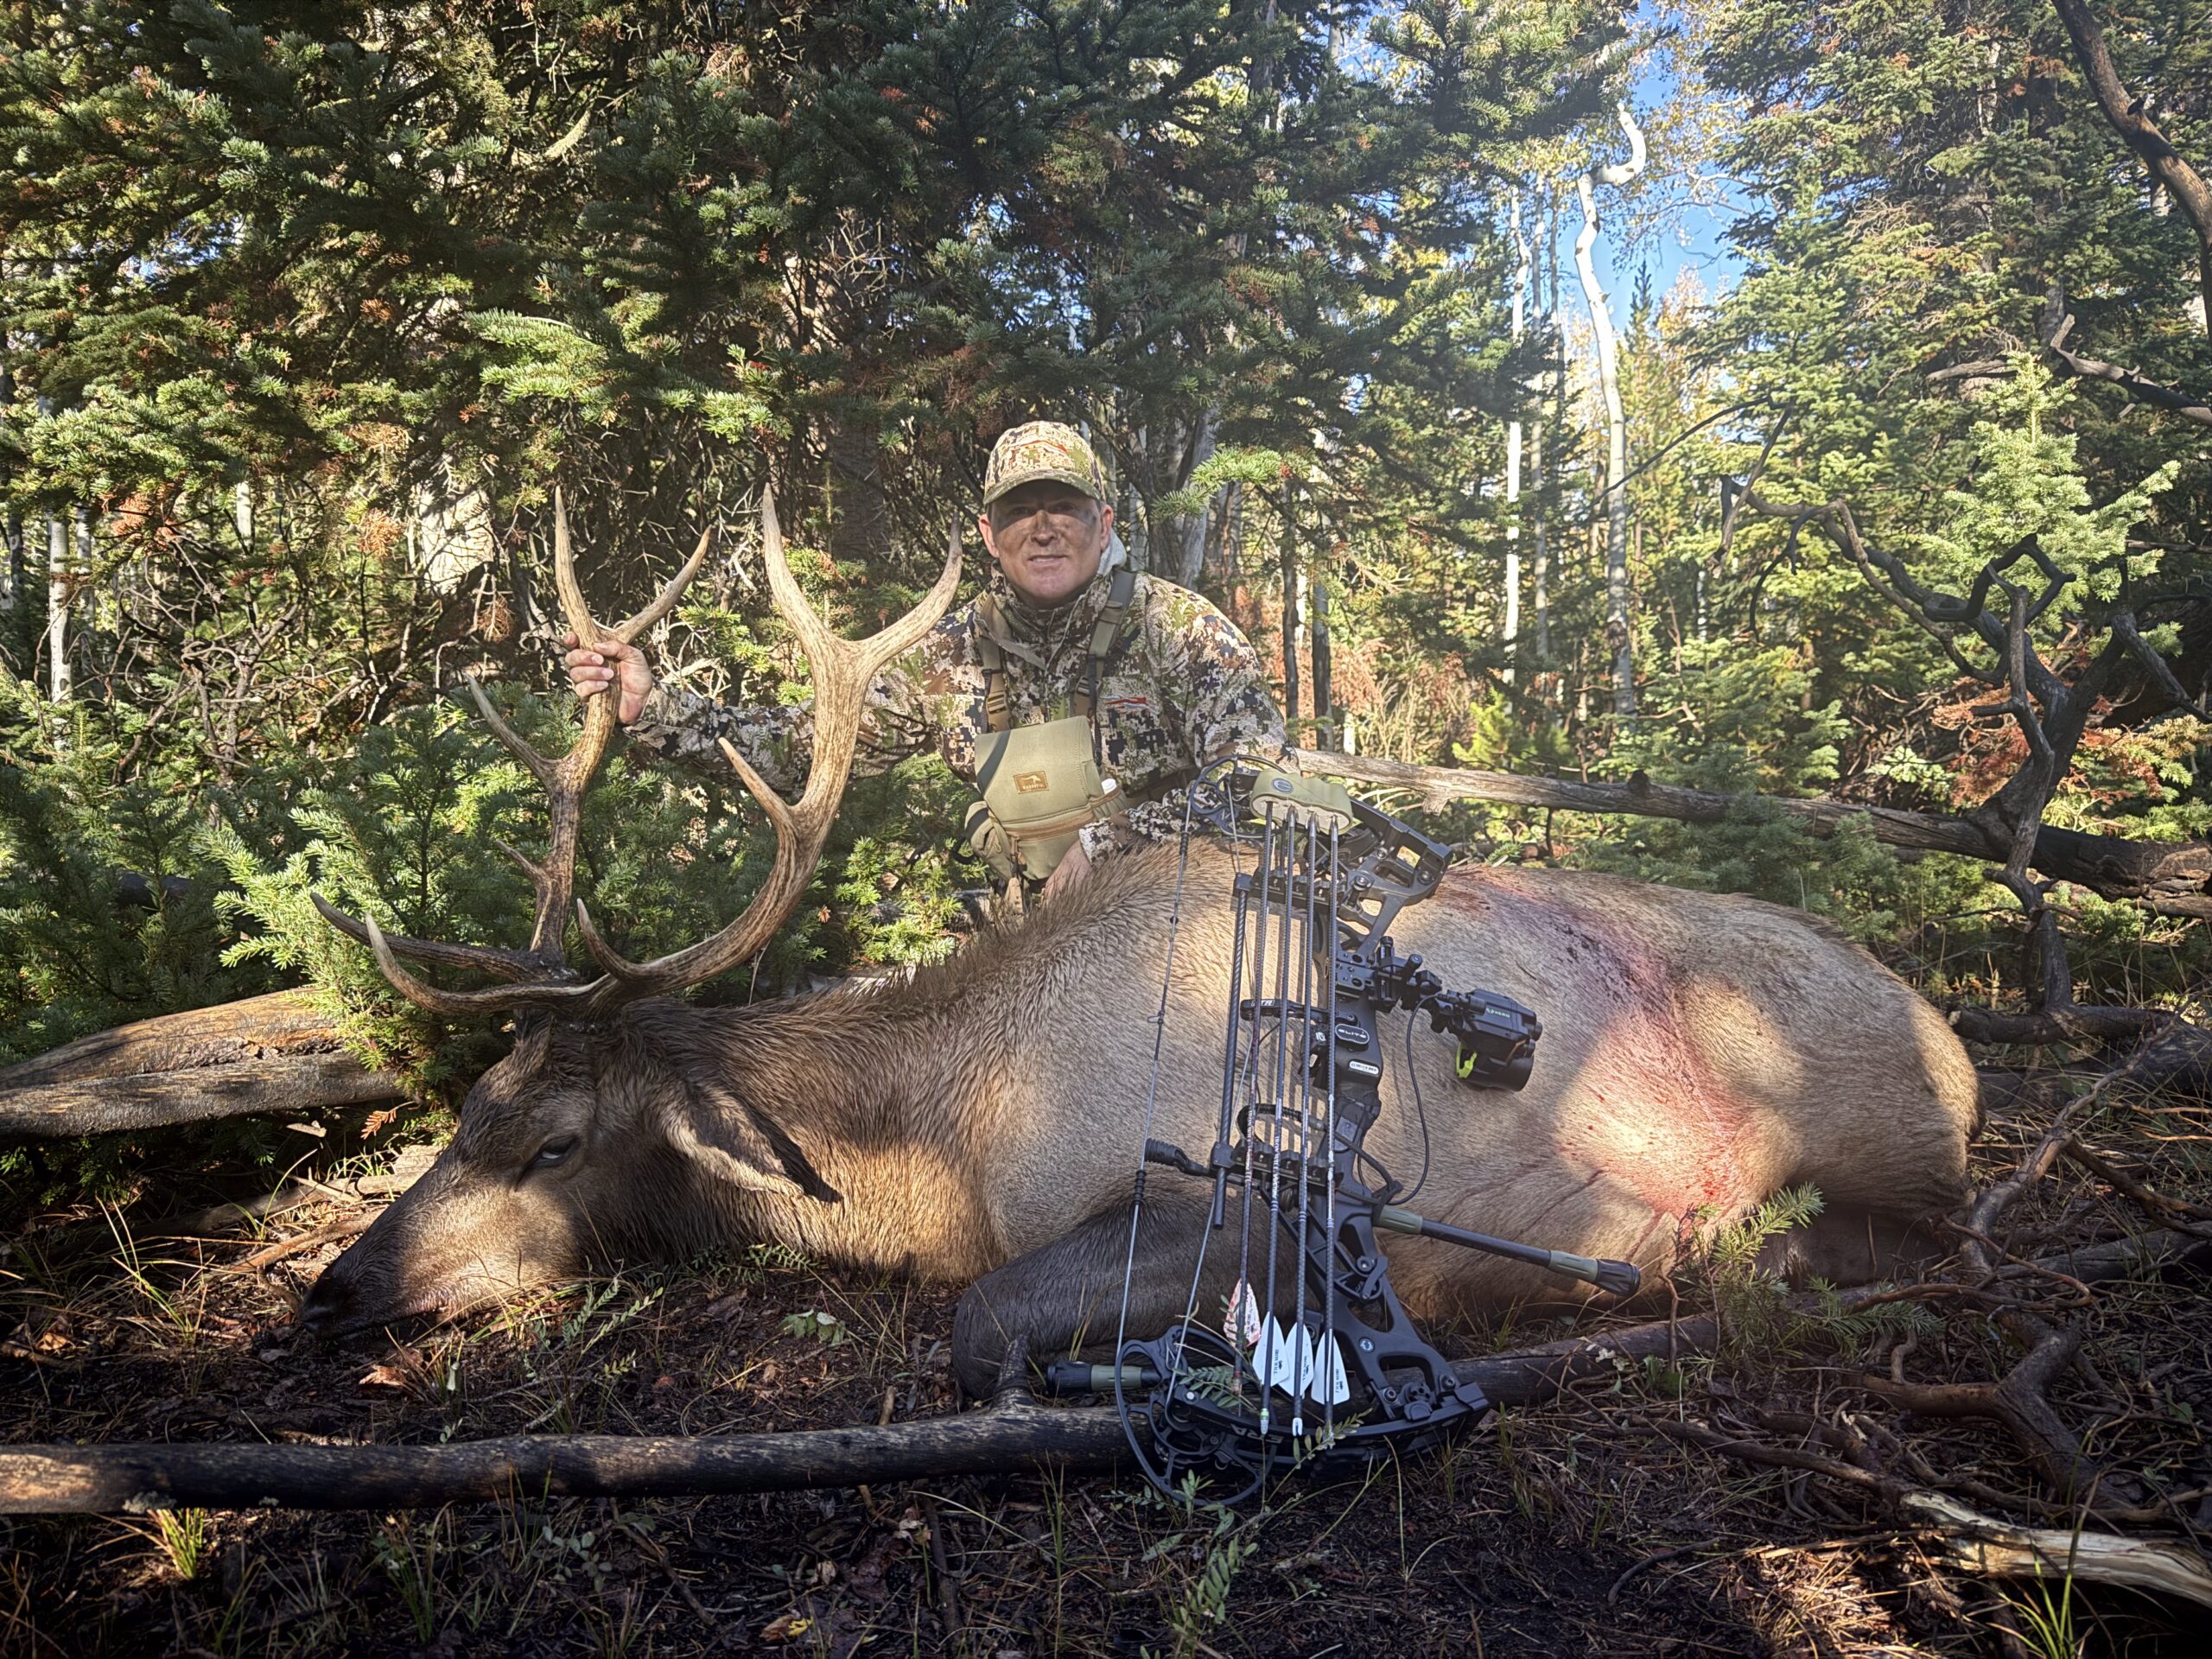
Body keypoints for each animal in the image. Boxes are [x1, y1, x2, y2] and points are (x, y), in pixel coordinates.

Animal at [300, 492, 1983, 1400]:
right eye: (468, 1108)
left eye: (556, 1141)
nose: (334, 1287)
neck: (954, 1145)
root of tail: (1954, 1036)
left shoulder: (1259, 1203)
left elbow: (981, 1320)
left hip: (1870, 1124)